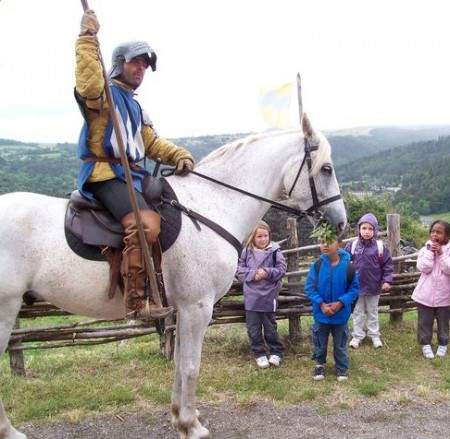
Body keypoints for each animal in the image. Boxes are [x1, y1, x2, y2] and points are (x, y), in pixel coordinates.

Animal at [0, 114, 348, 439]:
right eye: (326, 168)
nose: (341, 222)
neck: (213, 205)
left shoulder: (182, 309)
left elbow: (180, 363)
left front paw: (178, 415)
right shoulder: (197, 307)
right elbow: (192, 365)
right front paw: (191, 425)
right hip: (6, 308)